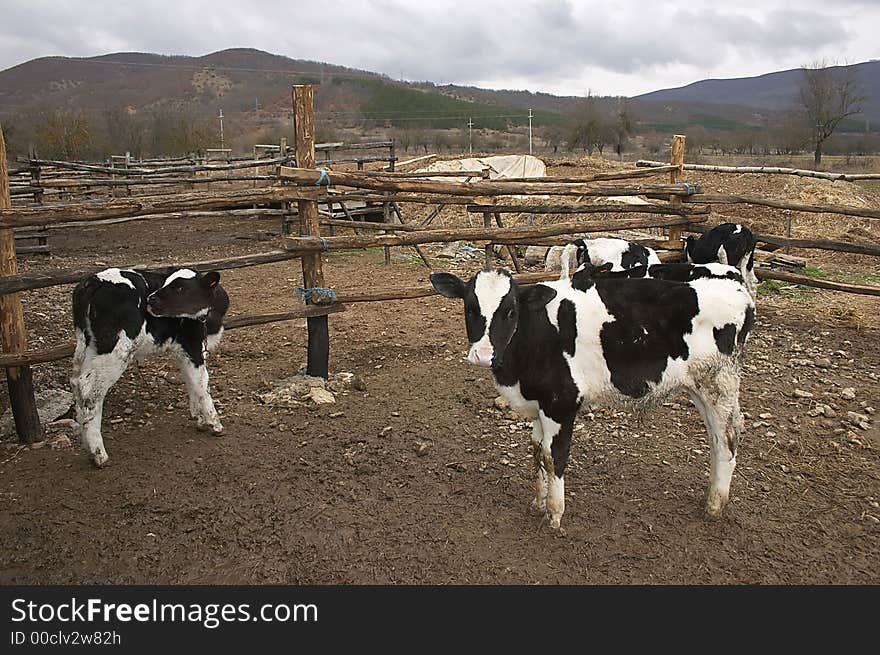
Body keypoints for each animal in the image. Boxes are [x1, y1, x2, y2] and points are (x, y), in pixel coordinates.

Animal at [71, 266, 229, 466]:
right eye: (167, 282)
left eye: (181, 288)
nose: (151, 299)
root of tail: (93, 282)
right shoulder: (192, 345)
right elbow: (202, 384)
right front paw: (215, 423)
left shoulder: (183, 350)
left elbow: (191, 382)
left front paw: (200, 419)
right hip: (117, 349)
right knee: (90, 390)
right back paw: (98, 453)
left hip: (88, 347)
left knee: (77, 383)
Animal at [430, 270, 752, 532]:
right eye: (470, 307)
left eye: (510, 311)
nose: (482, 355)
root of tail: (738, 291)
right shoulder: (540, 404)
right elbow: (537, 451)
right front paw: (538, 502)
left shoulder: (561, 402)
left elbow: (554, 456)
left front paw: (554, 514)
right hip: (701, 388)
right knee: (715, 439)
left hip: (718, 384)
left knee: (726, 439)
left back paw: (714, 505)